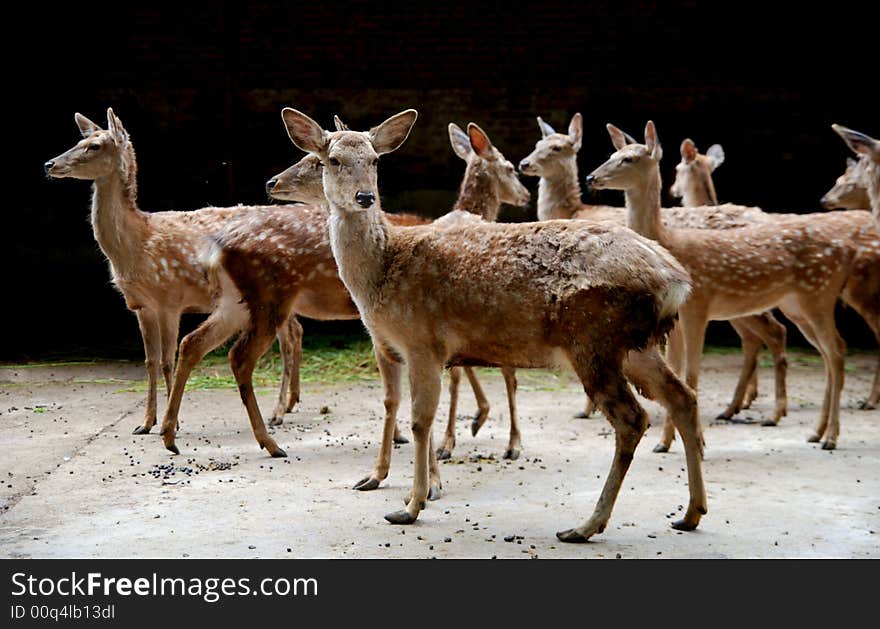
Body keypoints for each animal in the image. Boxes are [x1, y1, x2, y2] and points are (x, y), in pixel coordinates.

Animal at [44, 108, 306, 434]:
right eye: (79, 140)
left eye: (94, 146)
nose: (49, 164)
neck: (137, 243)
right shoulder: (141, 305)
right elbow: (149, 361)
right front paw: (145, 422)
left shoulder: (170, 298)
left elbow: (168, 360)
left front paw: (173, 422)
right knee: (296, 331)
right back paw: (290, 403)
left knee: (288, 341)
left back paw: (278, 412)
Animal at [280, 108, 708, 540]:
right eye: (332, 160)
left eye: (374, 161)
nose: (365, 197)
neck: (383, 270)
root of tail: (675, 280)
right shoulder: (400, 347)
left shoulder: (422, 341)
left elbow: (420, 421)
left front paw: (412, 505)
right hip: (635, 345)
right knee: (682, 397)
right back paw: (690, 512)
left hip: (595, 337)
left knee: (632, 419)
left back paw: (586, 525)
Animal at [520, 114, 788, 424]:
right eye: (537, 144)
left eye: (556, 148)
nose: (524, 163)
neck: (575, 210)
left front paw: (588, 409)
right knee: (758, 336)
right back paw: (740, 406)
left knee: (770, 332)